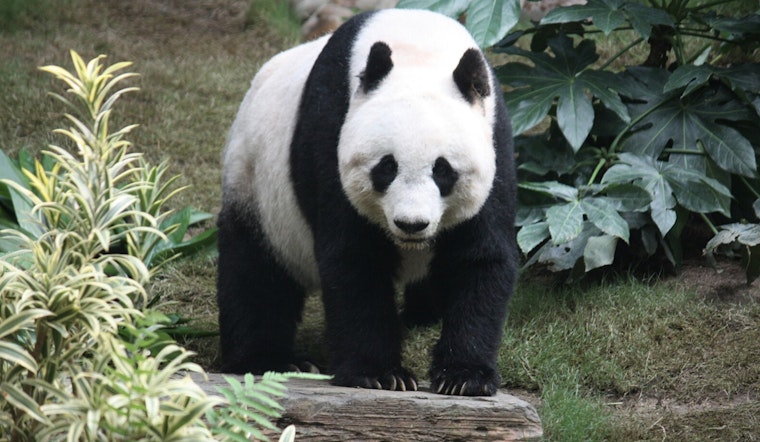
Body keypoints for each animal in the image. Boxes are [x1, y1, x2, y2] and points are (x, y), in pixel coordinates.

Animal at [217, 8, 517, 396]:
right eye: (386, 167)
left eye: (443, 170)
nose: (411, 224)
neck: (418, 46)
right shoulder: (330, 131)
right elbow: (356, 259)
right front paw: (380, 374)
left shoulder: (495, 142)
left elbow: (479, 258)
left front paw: (464, 377)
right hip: (256, 185)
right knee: (256, 273)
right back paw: (269, 360)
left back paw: (421, 315)